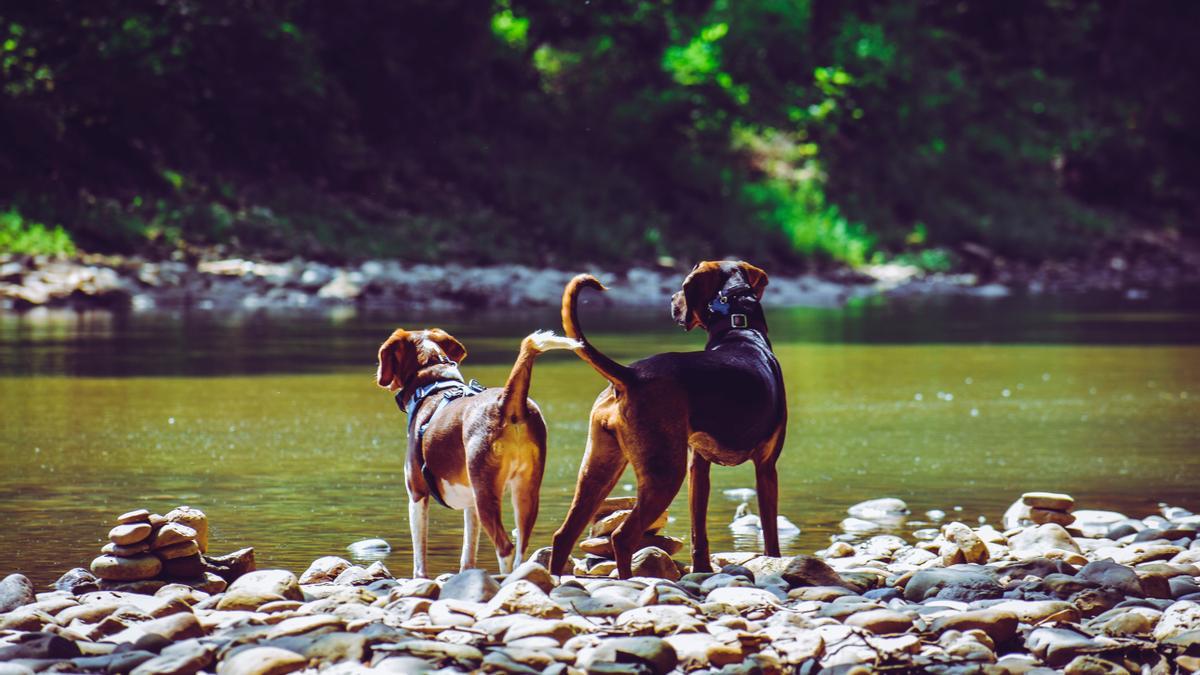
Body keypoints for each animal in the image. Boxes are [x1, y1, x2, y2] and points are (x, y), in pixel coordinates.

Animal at [376, 326, 578, 571]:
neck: (433, 384)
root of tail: (506, 402)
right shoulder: (470, 503)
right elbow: (468, 553)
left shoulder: (417, 494)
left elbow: (420, 558)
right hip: (525, 492)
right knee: (521, 548)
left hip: (486, 494)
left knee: (505, 548)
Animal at [547, 260, 787, 576]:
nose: (671, 300)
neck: (740, 328)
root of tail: (630, 375)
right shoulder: (767, 467)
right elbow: (770, 533)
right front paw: (774, 562)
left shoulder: (698, 467)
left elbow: (699, 532)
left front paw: (702, 570)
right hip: (664, 474)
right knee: (622, 537)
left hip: (598, 469)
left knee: (564, 535)